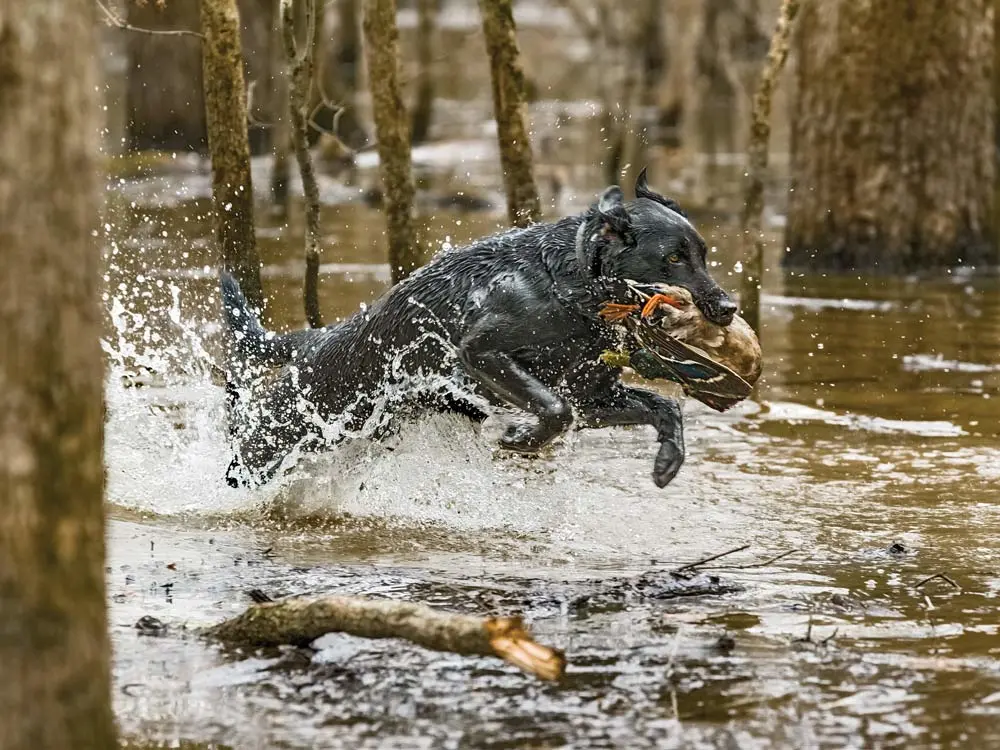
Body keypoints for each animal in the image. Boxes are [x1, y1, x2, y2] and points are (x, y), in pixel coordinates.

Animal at [221, 173, 736, 494]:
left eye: (704, 254)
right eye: (673, 258)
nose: (728, 308)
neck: (569, 287)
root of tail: (314, 340)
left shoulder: (594, 397)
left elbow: (666, 408)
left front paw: (668, 461)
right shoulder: (482, 352)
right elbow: (554, 408)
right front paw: (522, 438)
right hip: (275, 440)